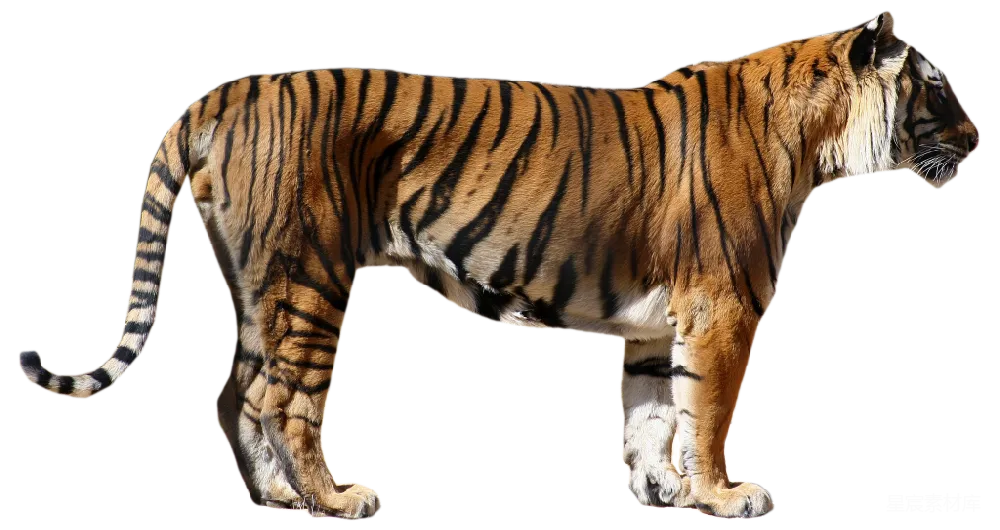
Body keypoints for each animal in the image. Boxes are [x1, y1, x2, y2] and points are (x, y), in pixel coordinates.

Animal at [14, 10, 978, 520]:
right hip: (308, 278)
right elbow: (705, 414)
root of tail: (221, 93)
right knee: (281, 399)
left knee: (231, 392)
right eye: (935, 84)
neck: (821, 138)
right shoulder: (723, 305)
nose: (977, 134)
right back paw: (337, 498)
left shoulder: (655, 322)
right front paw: (724, 495)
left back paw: (278, 499)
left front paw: (662, 491)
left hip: (259, 283)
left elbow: (650, 413)